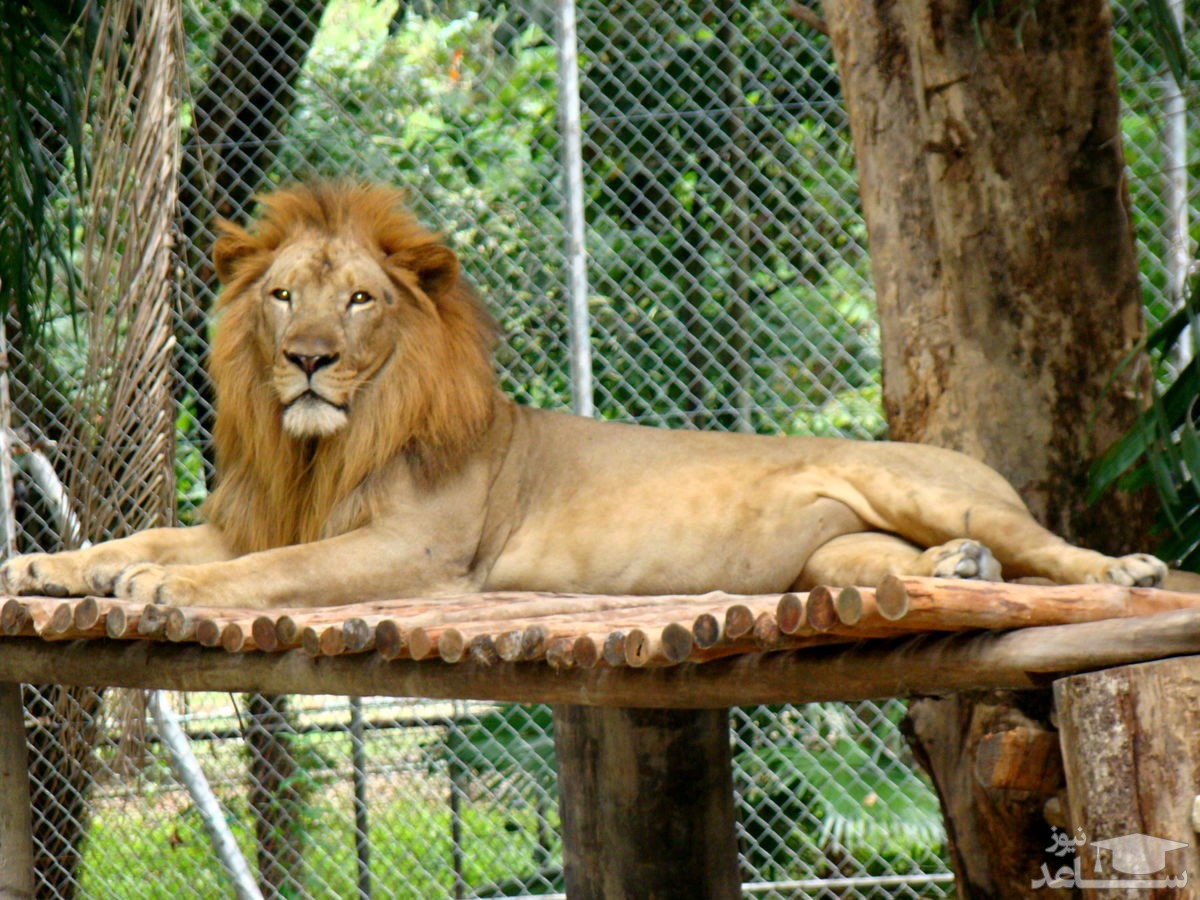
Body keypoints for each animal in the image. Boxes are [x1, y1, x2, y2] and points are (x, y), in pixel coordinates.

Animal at [0, 181, 1161, 614]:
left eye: (360, 300)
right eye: (283, 296)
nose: (308, 361)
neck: (322, 444)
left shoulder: (416, 551)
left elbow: (268, 572)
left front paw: (163, 590)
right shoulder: (260, 518)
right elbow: (138, 537)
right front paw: (41, 568)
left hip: (928, 483)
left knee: (1046, 546)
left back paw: (1124, 568)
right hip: (835, 555)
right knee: (903, 560)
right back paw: (956, 570)